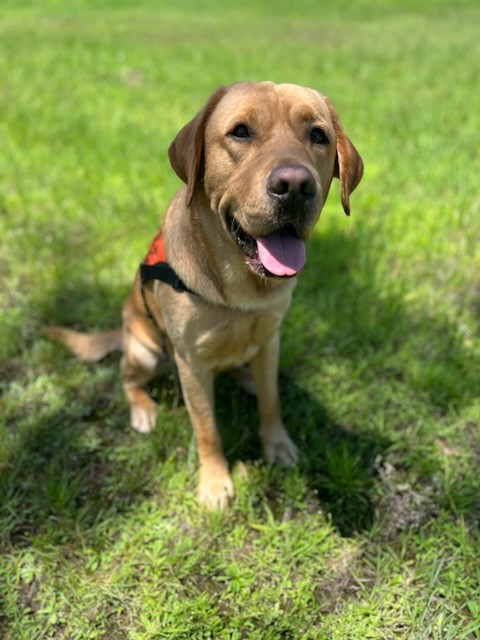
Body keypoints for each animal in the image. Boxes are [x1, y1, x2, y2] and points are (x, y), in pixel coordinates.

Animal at [47, 81, 364, 510]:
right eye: (240, 132)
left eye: (318, 135)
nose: (296, 186)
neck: (240, 291)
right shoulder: (191, 362)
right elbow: (207, 428)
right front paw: (215, 483)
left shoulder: (270, 339)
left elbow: (271, 401)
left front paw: (277, 444)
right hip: (146, 351)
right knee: (127, 378)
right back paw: (144, 410)